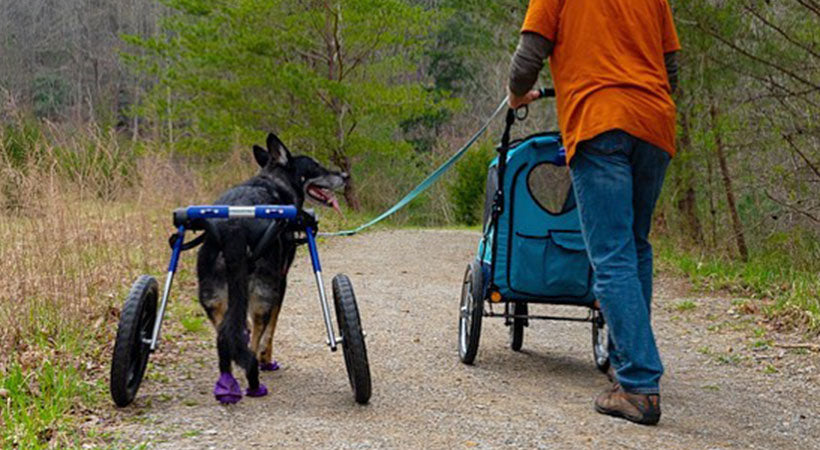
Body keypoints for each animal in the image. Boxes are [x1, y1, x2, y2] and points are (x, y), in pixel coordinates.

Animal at [197, 132, 348, 402]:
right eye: (316, 166)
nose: (345, 176)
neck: (274, 181)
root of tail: (234, 228)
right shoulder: (281, 280)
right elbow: (272, 328)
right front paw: (267, 359)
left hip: (212, 298)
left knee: (226, 337)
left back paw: (227, 383)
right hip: (263, 291)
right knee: (255, 336)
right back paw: (254, 379)